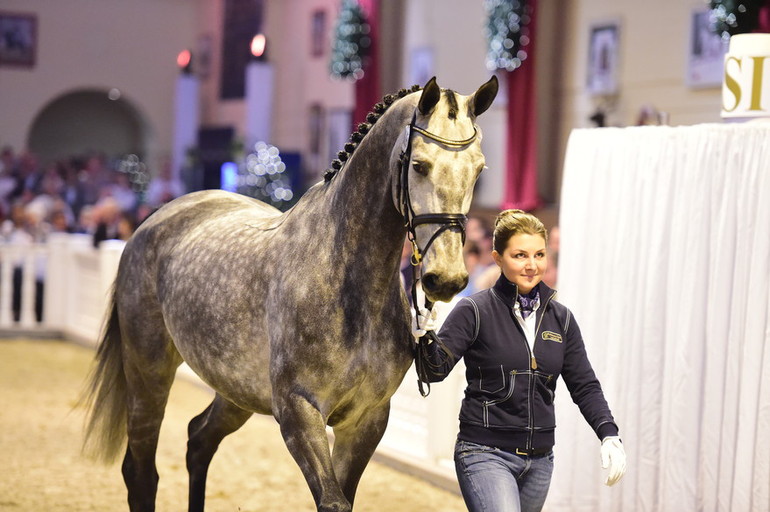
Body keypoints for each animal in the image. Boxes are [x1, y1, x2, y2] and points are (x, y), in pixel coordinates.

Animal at [79, 76, 498, 512]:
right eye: (418, 165)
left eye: (479, 170)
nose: (446, 278)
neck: (346, 282)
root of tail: (152, 222)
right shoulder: (299, 412)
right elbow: (332, 502)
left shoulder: (366, 420)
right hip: (148, 371)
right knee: (142, 472)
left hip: (236, 390)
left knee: (198, 440)